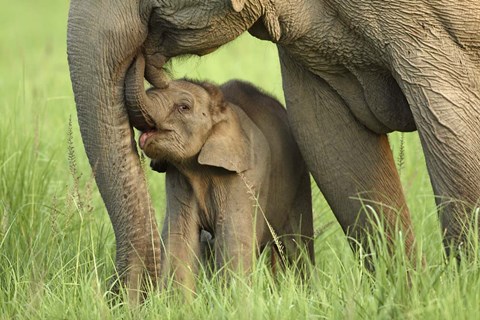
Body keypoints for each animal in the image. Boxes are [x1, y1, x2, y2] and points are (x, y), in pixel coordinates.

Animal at [124, 55, 314, 292]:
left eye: (184, 107)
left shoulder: (244, 176)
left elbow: (232, 237)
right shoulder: (178, 177)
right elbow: (180, 238)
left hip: (299, 179)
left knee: (297, 243)